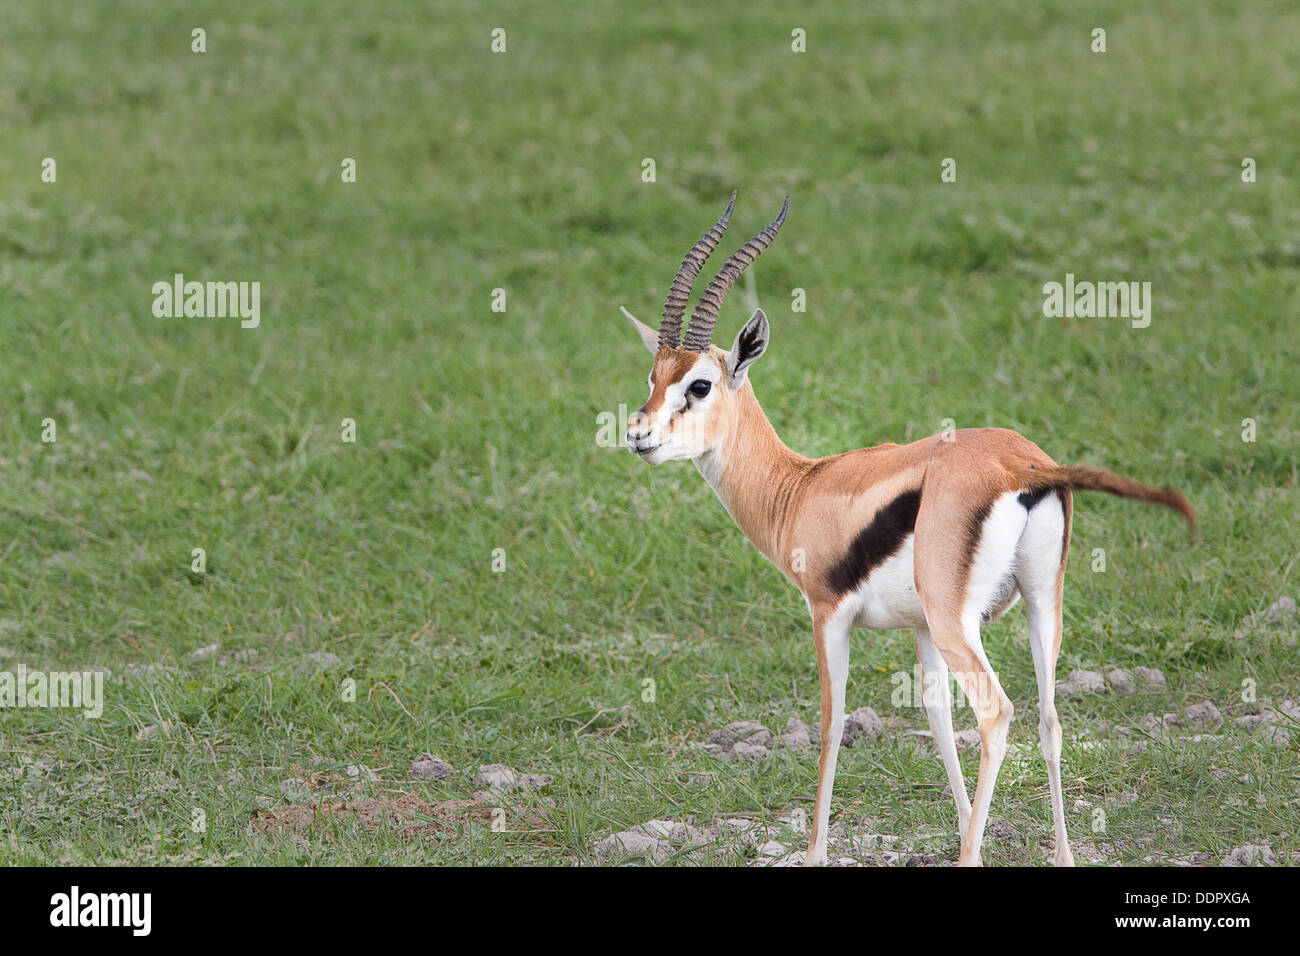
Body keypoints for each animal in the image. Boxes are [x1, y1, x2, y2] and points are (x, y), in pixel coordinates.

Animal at [619, 192, 1196, 867]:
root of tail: (1023, 466)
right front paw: (969, 829)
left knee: (998, 714)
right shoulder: (919, 628)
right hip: (1038, 602)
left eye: (699, 384)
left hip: (960, 620)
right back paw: (1060, 855)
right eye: (653, 377)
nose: (637, 435)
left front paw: (816, 852)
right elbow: (938, 718)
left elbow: (832, 721)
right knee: (1049, 718)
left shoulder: (829, 615)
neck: (800, 488)